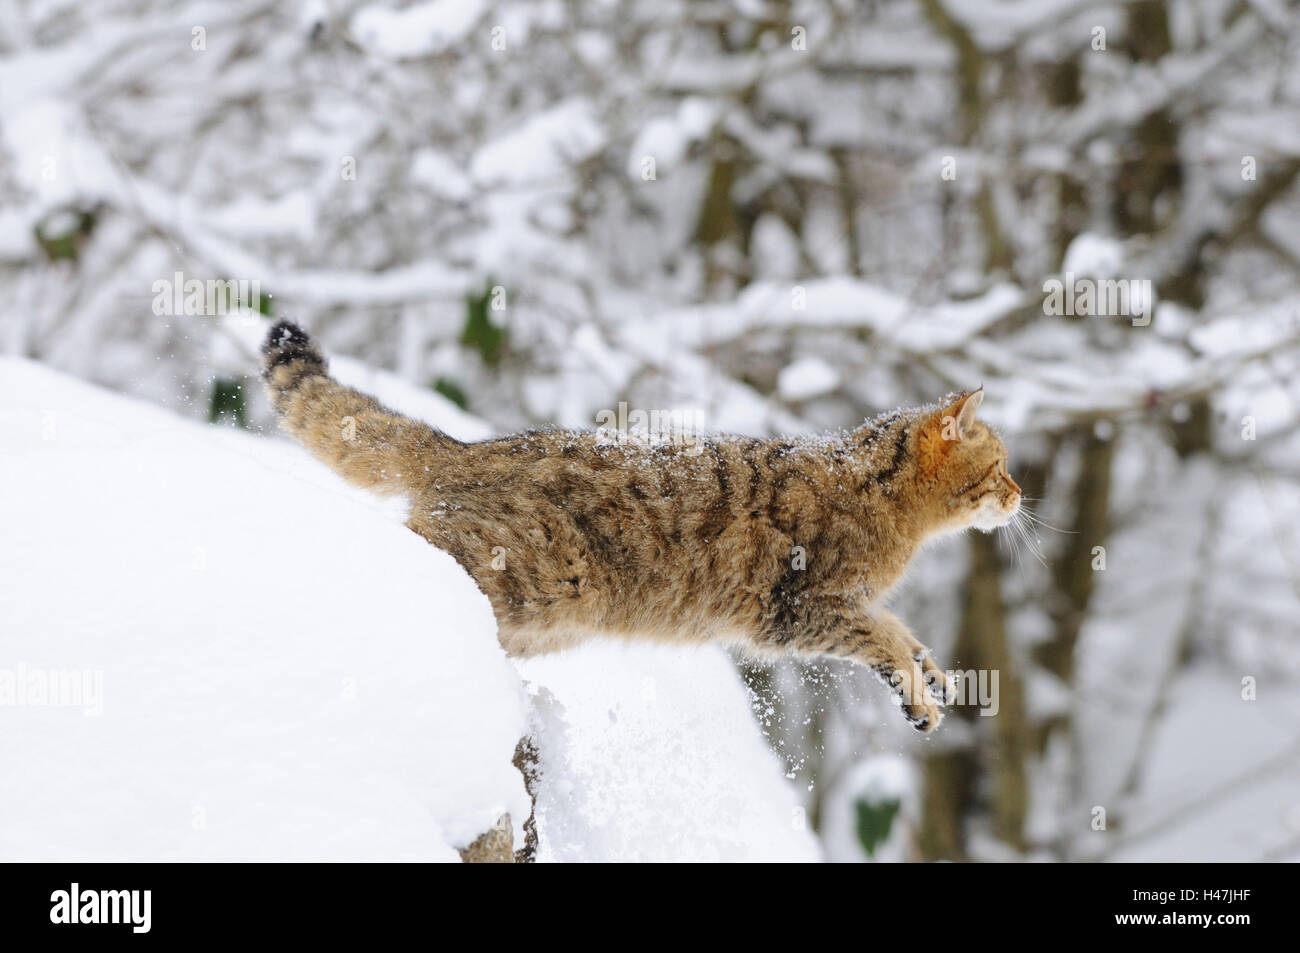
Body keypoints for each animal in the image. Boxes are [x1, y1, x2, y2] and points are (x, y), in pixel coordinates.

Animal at [258, 319, 1019, 728]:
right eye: (1003, 464)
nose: (1020, 492)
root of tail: (468, 447)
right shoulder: (803, 606)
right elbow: (883, 635)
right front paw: (918, 691)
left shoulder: (831, 607)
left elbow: (905, 634)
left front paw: (934, 674)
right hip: (522, 582)